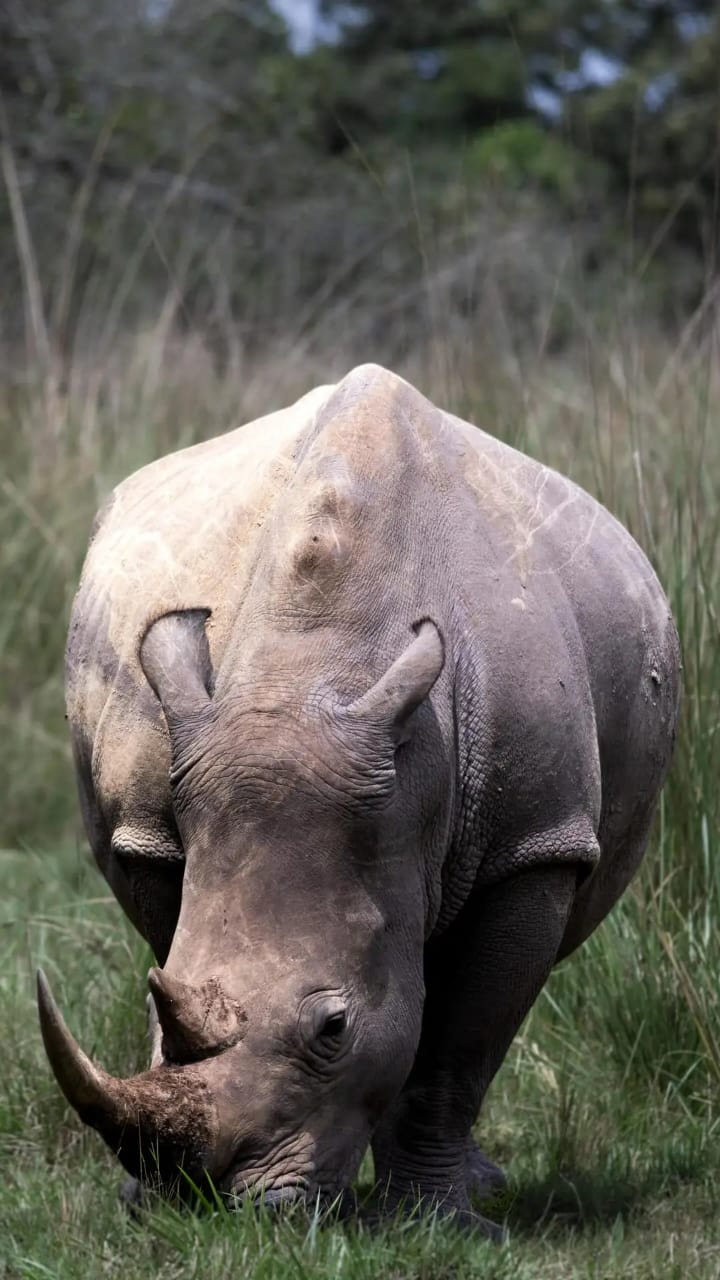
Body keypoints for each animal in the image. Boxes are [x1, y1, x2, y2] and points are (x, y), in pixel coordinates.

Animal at [38, 364, 680, 1233]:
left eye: (334, 1028)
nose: (219, 1206)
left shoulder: (535, 844)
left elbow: (460, 1044)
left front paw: (440, 1226)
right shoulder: (156, 826)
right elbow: (179, 958)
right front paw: (147, 1199)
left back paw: (478, 1190)